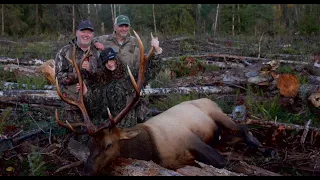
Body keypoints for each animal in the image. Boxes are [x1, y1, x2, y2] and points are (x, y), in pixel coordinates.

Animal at [54, 30, 260, 175]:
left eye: (109, 145)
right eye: (90, 145)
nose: (86, 171)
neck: (153, 150)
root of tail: (207, 98)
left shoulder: (192, 139)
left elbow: (223, 163)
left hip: (217, 113)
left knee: (243, 128)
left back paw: (259, 146)